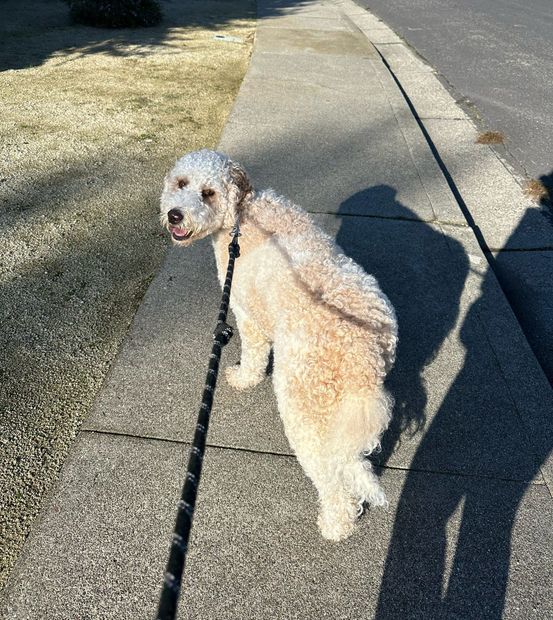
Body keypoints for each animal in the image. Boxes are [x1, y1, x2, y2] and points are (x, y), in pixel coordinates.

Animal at [160, 148, 396, 540]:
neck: (242, 214)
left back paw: (336, 523)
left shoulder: (246, 312)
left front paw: (244, 378)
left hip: (304, 407)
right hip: (342, 412)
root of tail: (359, 351)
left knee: (330, 475)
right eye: (181, 183)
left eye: (208, 193)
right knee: (349, 461)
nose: (175, 214)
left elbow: (254, 354)